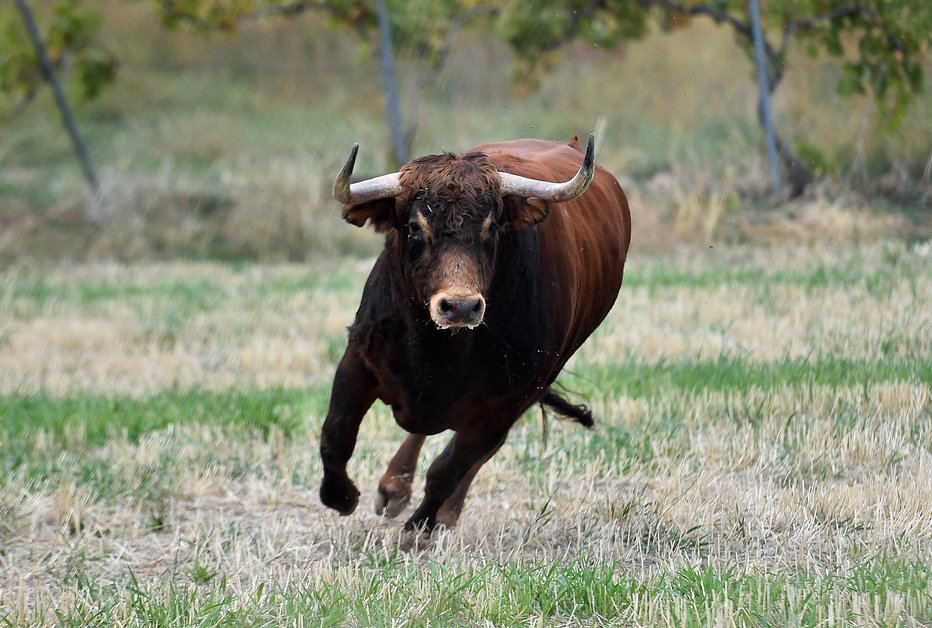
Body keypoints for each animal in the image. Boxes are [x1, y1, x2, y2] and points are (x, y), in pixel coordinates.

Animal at [316, 134, 628, 528]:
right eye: (415, 227)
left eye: (491, 228)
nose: (460, 307)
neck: (435, 350)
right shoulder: (359, 358)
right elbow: (336, 435)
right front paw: (341, 497)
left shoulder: (505, 404)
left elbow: (449, 469)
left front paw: (419, 528)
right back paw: (393, 487)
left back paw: (441, 510)